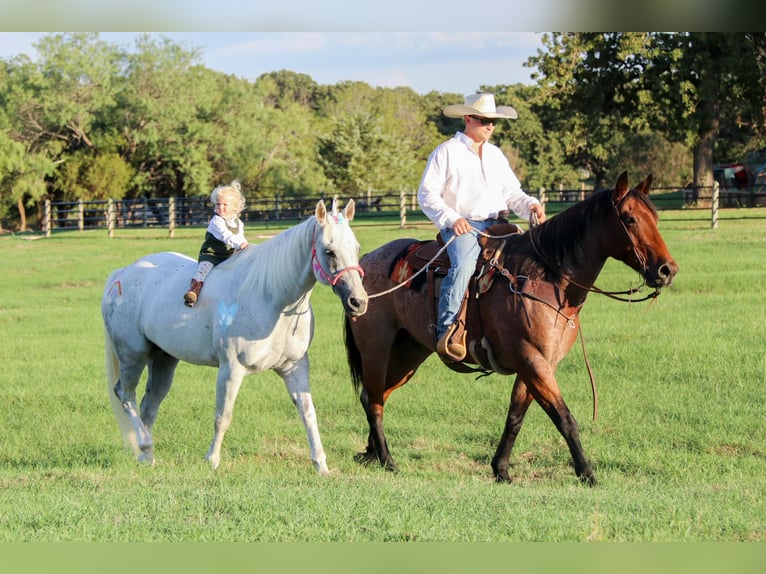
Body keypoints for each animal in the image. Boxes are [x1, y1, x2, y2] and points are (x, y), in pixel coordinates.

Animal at [102, 200, 368, 474]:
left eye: (356, 248)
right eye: (329, 251)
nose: (358, 302)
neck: (271, 297)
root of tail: (121, 275)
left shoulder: (295, 368)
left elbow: (308, 413)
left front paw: (321, 465)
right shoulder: (231, 369)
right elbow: (223, 416)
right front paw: (212, 460)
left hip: (164, 359)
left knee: (149, 404)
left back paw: (146, 454)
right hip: (133, 356)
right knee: (125, 395)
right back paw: (144, 445)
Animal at [346, 172, 680, 486]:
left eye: (655, 217)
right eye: (629, 218)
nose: (667, 270)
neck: (544, 279)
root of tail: (366, 260)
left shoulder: (539, 364)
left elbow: (516, 416)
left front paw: (501, 469)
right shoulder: (531, 360)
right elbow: (564, 418)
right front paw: (587, 474)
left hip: (409, 355)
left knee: (375, 395)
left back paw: (372, 452)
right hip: (376, 348)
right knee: (373, 400)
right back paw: (387, 460)